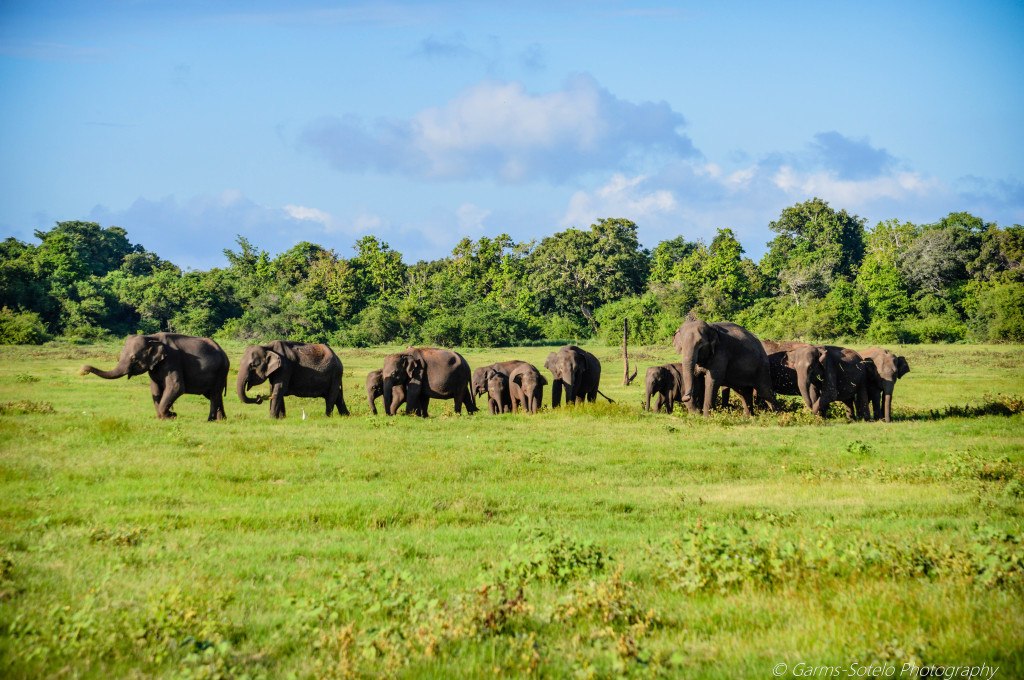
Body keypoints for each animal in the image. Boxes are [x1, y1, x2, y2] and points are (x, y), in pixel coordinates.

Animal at [81, 333, 230, 421]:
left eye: (133, 358)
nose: (83, 370)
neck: (151, 337)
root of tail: (223, 352)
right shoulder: (155, 366)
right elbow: (155, 389)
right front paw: (163, 417)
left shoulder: (172, 360)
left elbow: (176, 386)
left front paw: (170, 416)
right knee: (214, 395)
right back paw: (221, 420)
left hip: (221, 370)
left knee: (214, 394)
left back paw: (210, 420)